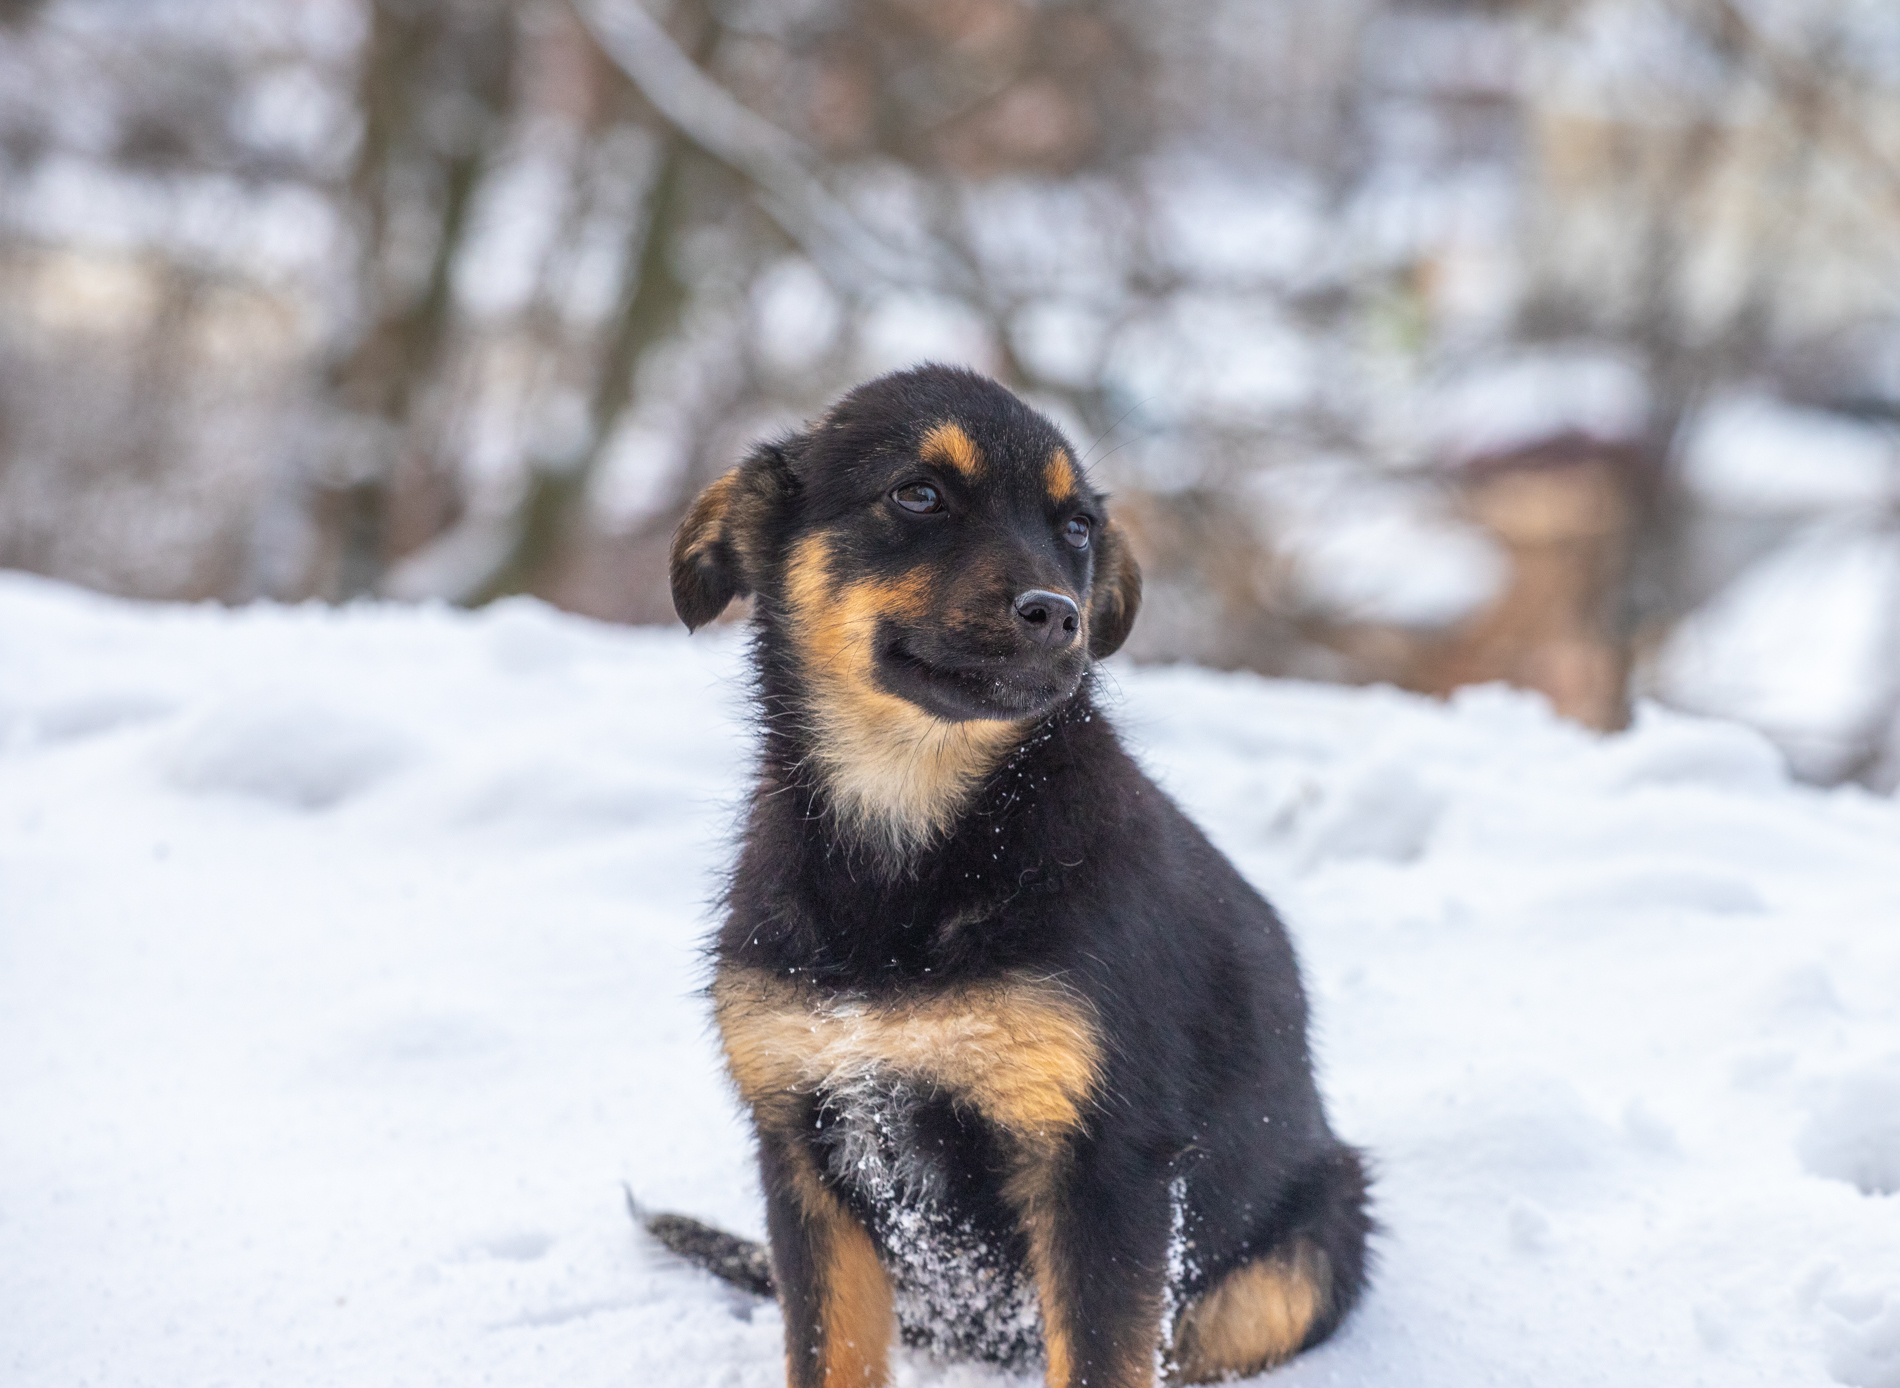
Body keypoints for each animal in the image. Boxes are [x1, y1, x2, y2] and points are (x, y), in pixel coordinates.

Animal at [653, 368, 1368, 1388]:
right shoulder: (802, 1148)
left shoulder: (1105, 1168)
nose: (1059, 615)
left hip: (1309, 1248)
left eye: (1076, 527)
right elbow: (828, 1356)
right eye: (917, 494)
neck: (914, 831)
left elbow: (1101, 1359)